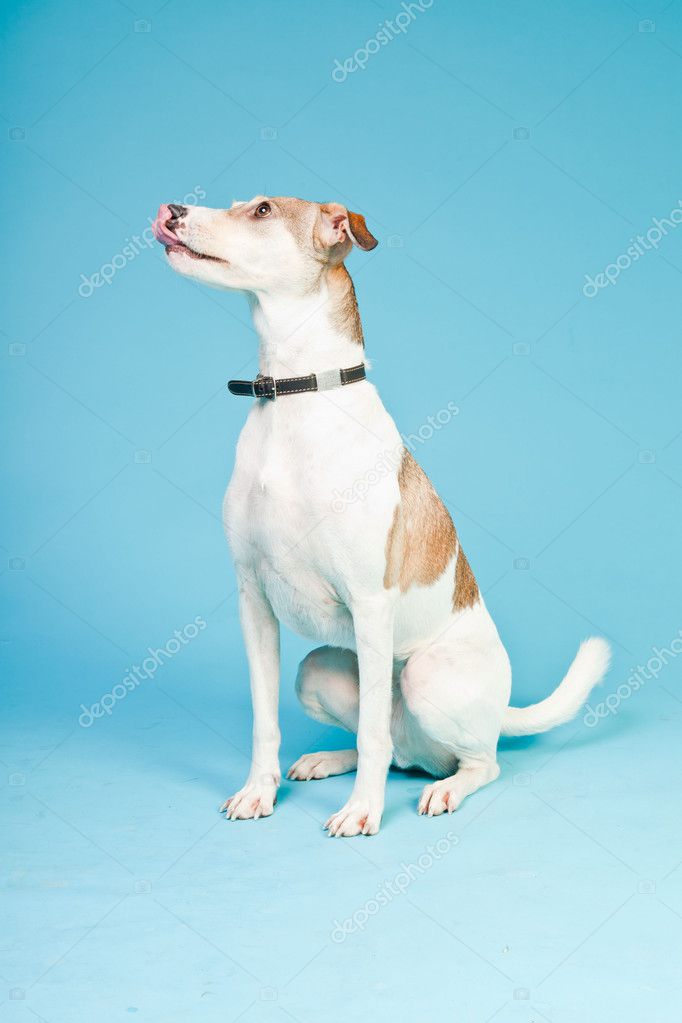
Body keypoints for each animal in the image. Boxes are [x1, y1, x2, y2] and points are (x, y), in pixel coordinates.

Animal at [152, 195, 609, 834]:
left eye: (262, 209)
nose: (172, 209)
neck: (295, 396)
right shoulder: (253, 603)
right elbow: (265, 722)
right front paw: (258, 792)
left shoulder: (369, 602)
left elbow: (371, 736)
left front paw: (363, 812)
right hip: (316, 669)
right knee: (394, 747)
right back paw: (326, 759)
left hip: (426, 676)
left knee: (471, 760)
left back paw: (445, 787)